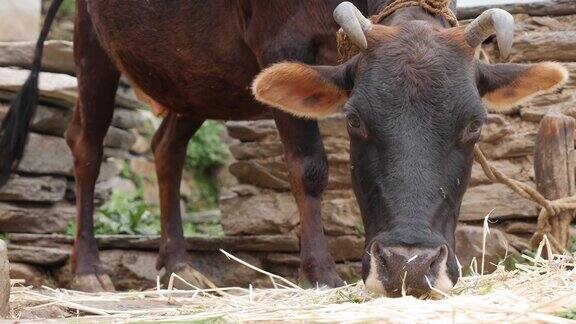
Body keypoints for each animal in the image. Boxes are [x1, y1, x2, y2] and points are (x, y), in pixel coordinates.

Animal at [0, 0, 568, 298]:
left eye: (474, 126)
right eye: (354, 120)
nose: (408, 264)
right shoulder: (281, 42)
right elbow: (309, 168)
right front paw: (319, 271)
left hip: (196, 78)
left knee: (166, 147)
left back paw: (179, 263)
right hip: (93, 43)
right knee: (86, 145)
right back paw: (89, 268)